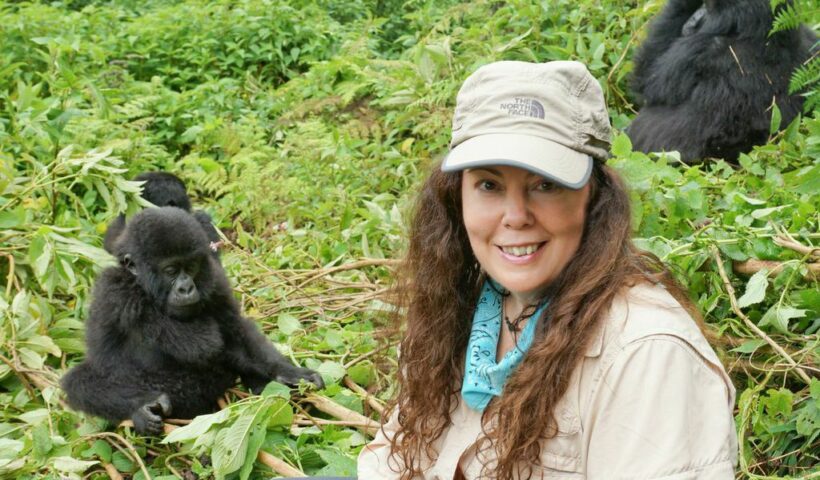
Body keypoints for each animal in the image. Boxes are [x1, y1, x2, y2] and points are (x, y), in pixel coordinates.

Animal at [62, 206, 324, 436]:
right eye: (170, 271)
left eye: (191, 266)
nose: (186, 288)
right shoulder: (110, 293)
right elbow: (102, 366)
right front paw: (142, 405)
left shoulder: (215, 281)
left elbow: (234, 333)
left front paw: (287, 372)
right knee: (79, 381)